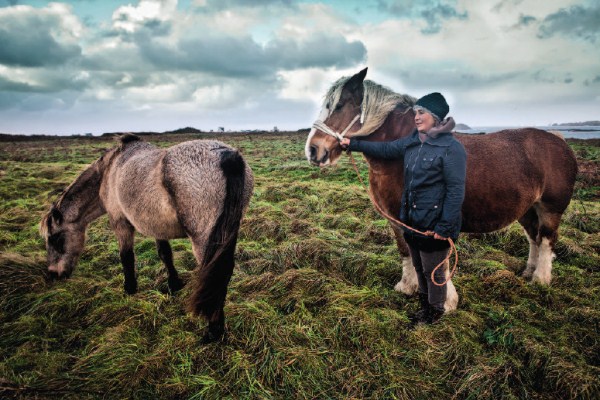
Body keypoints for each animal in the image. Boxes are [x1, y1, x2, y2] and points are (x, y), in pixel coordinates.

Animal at [38, 134, 252, 340]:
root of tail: (227, 155)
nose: (54, 273)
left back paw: (213, 331)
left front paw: (129, 289)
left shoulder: (120, 223)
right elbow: (165, 254)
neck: (109, 171)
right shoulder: (157, 226)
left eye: (55, 238)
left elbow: (126, 257)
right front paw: (174, 285)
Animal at [308, 69, 580, 310]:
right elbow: (406, 251)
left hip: (550, 209)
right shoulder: (397, 220)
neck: (400, 156)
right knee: (534, 237)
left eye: (339, 105)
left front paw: (445, 302)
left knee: (547, 240)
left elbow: (437, 259)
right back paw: (528, 272)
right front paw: (407, 287)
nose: (313, 150)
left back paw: (540, 280)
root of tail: (558, 140)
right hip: (527, 210)